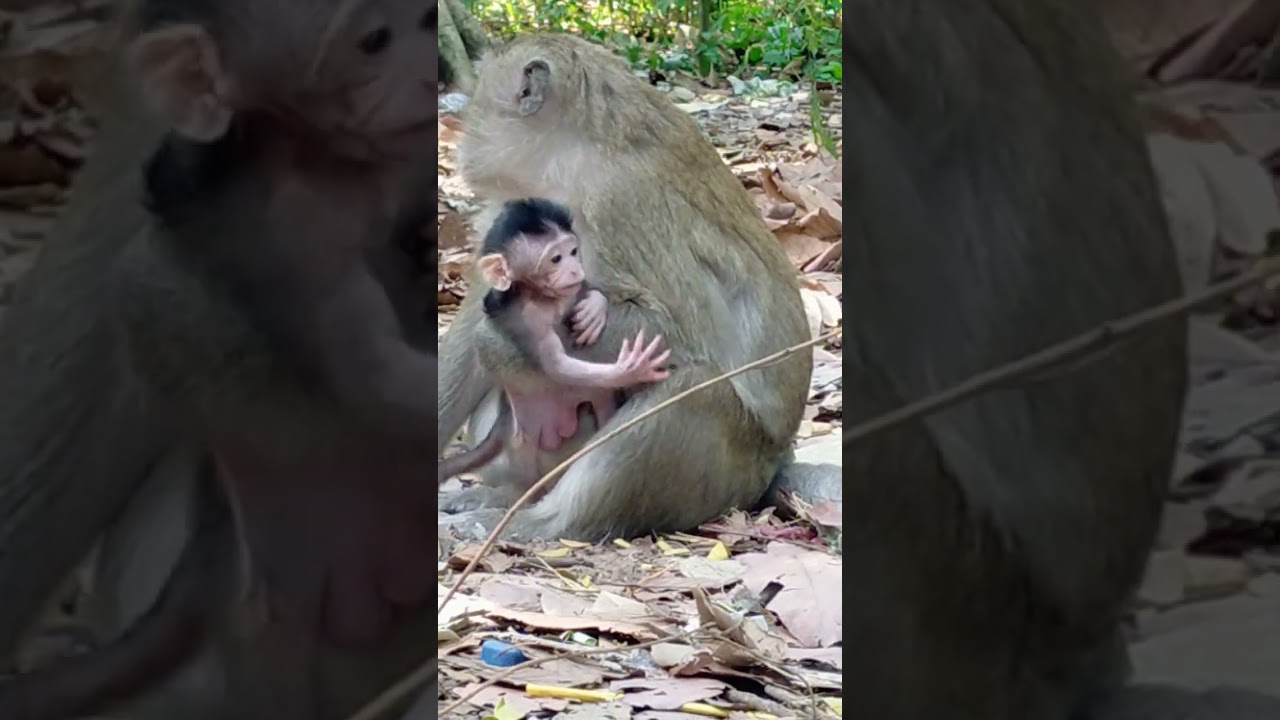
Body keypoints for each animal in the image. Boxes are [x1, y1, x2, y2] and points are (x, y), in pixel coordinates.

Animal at [437, 197, 670, 490]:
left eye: (573, 251)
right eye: (555, 259)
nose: (575, 269)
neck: (545, 298)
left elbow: (587, 292)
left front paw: (594, 309)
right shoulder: (530, 322)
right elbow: (556, 365)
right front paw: (631, 368)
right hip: (526, 431)